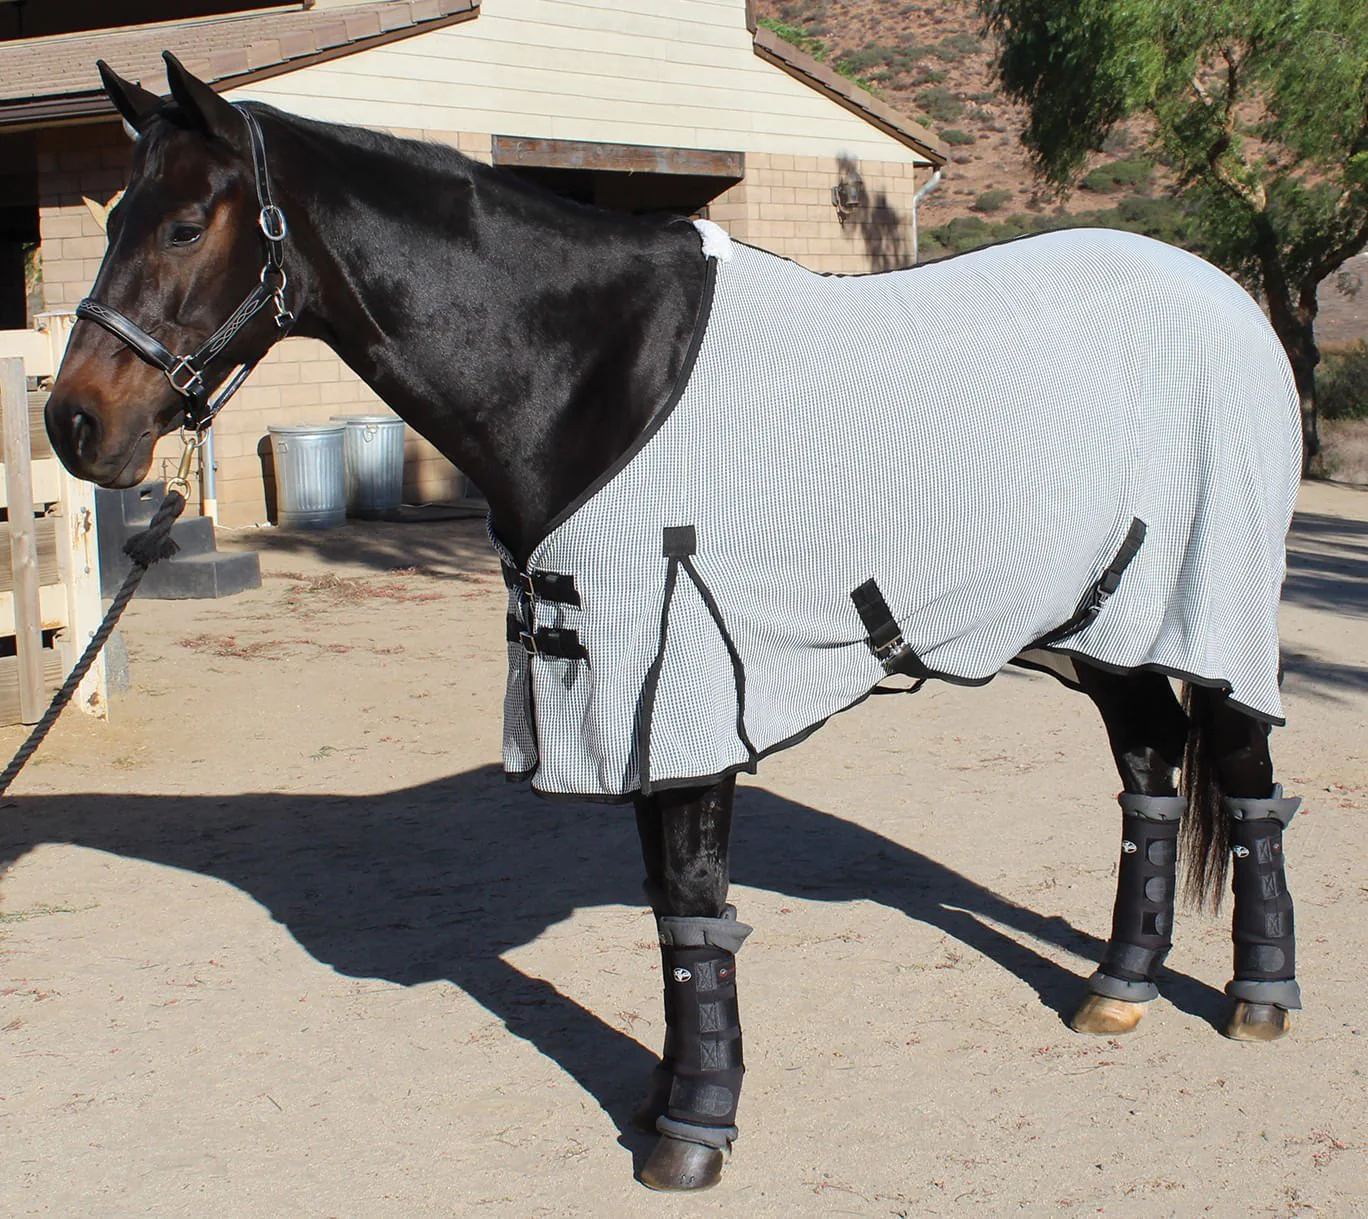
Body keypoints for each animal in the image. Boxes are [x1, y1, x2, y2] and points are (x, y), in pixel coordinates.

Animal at [45, 54, 1304, 1192]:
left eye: (186, 224)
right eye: (112, 217)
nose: (74, 424)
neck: (592, 364)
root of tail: (1225, 298)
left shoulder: (680, 679)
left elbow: (695, 912)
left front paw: (695, 1127)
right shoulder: (618, 691)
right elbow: (664, 912)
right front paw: (665, 1098)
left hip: (1212, 605)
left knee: (1244, 776)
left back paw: (1260, 997)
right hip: (1108, 624)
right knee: (1148, 770)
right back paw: (1117, 987)